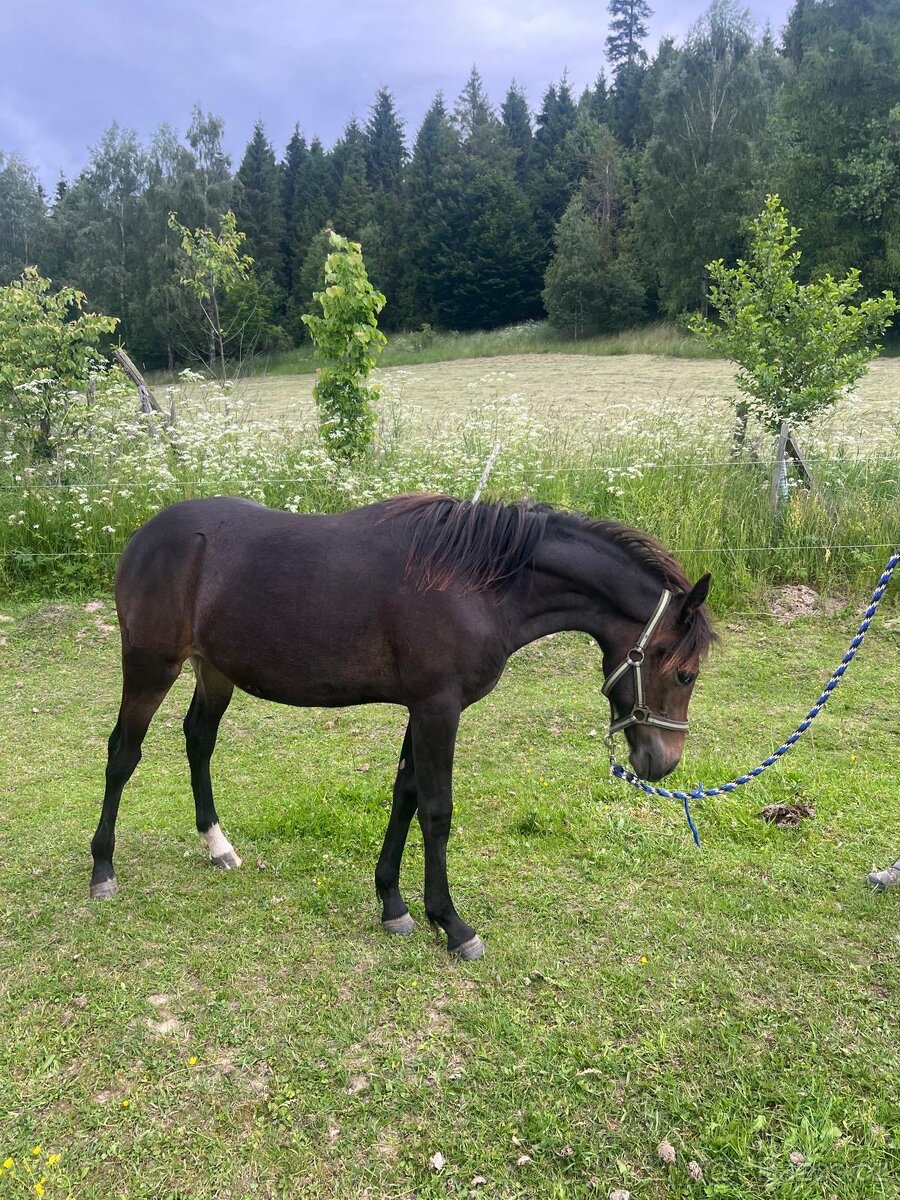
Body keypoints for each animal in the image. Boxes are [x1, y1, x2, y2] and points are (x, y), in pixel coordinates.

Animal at [90, 494, 715, 959]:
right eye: (684, 673)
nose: (663, 762)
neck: (476, 585)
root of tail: (145, 537)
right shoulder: (439, 707)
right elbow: (436, 811)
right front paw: (453, 924)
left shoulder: (423, 708)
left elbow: (406, 795)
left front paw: (393, 904)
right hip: (149, 666)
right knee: (123, 753)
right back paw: (103, 868)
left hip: (215, 670)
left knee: (199, 741)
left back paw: (217, 845)